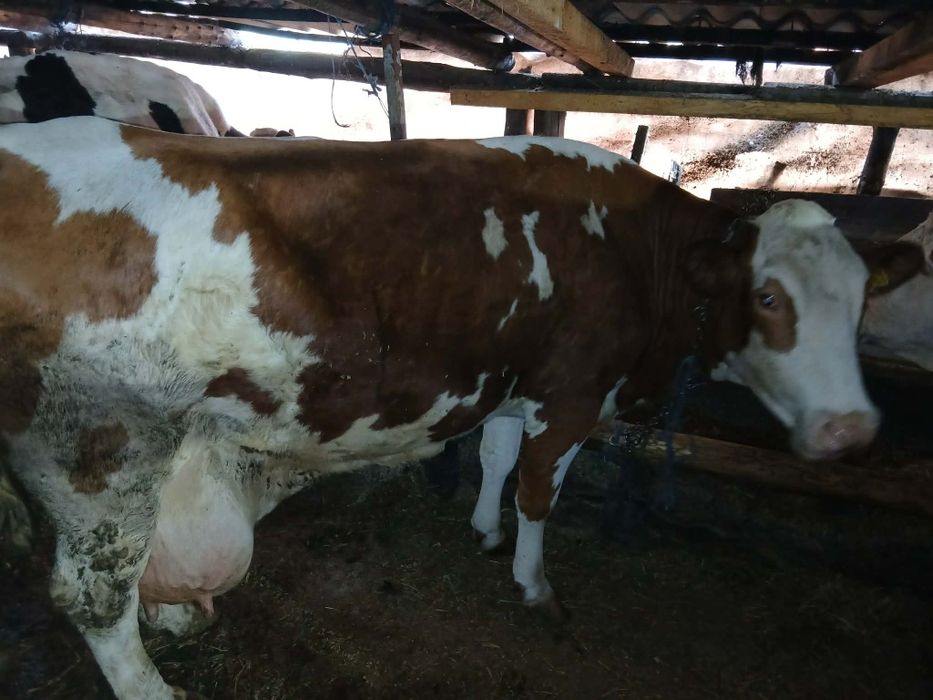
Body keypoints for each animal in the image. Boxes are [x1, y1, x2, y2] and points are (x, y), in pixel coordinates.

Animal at [0, 116, 922, 699]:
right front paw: (534, 583)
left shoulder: (516, 381)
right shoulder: (572, 392)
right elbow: (540, 491)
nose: (850, 429)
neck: (635, 256)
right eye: (766, 297)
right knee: (93, 593)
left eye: (858, 303)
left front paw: (482, 529)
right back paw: (156, 688)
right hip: (100, 449)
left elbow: (494, 456)